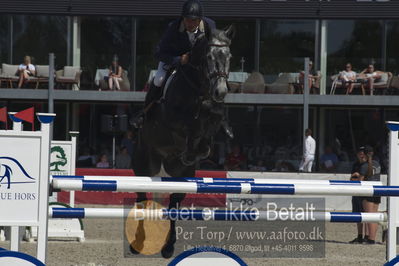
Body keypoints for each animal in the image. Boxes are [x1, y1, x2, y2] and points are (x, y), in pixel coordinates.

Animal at [133, 25, 236, 258]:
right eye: (208, 57)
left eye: (229, 57)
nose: (220, 91)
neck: (199, 87)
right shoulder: (174, 119)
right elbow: (193, 123)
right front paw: (193, 148)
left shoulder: (211, 111)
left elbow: (213, 118)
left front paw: (209, 142)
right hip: (144, 164)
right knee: (142, 197)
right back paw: (138, 243)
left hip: (180, 175)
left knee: (173, 202)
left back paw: (168, 246)